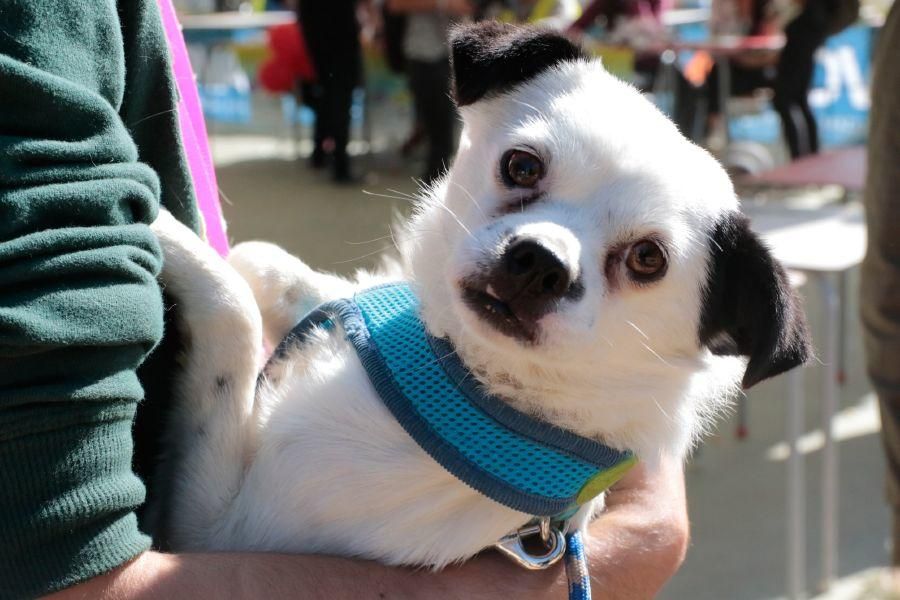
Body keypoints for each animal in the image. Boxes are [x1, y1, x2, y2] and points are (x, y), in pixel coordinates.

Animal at [146, 23, 808, 576]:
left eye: (648, 259)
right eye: (522, 166)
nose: (541, 262)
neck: (461, 375)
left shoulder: (217, 525)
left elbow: (231, 311)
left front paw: (157, 222)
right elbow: (301, 282)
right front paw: (270, 268)